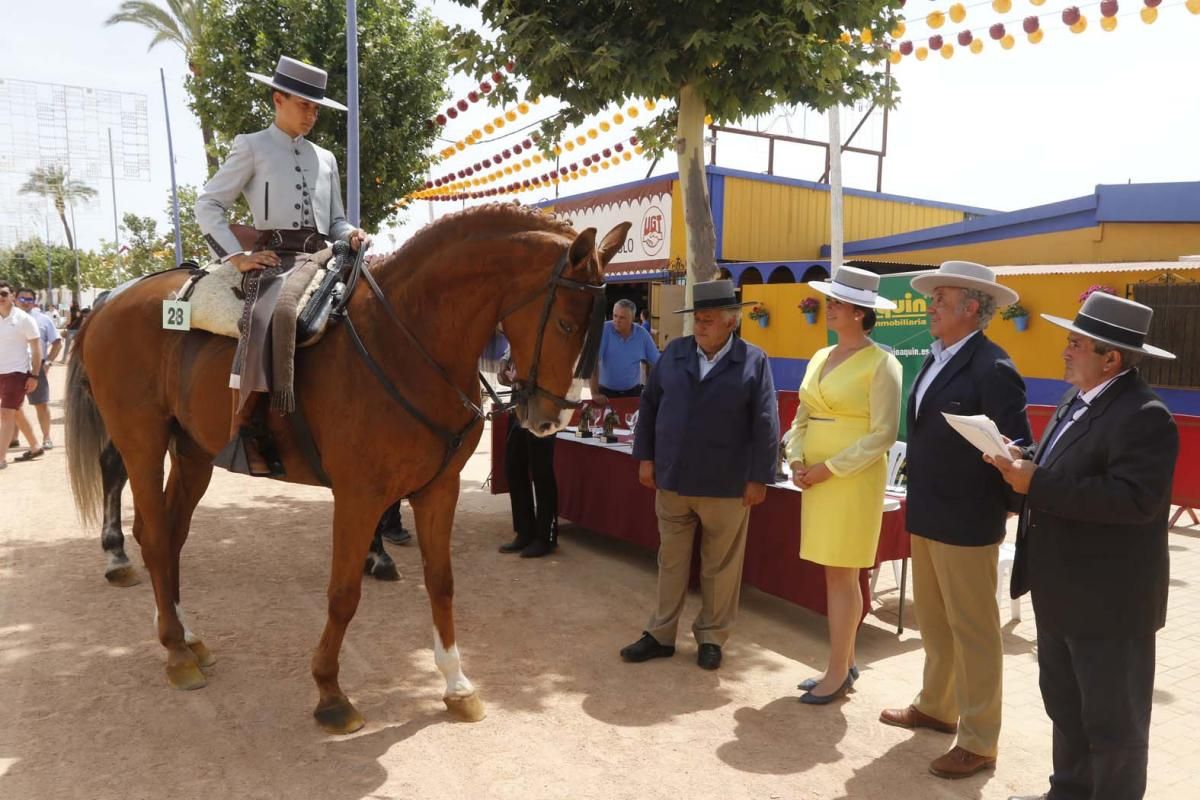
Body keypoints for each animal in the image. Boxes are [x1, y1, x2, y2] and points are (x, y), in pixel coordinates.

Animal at [65, 205, 628, 734]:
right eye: (565, 322)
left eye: (597, 328)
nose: (551, 419)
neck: (406, 339)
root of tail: (109, 303)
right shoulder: (359, 496)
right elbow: (343, 594)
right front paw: (330, 692)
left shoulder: (438, 489)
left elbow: (441, 582)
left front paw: (457, 684)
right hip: (142, 441)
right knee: (155, 534)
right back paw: (174, 649)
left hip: (193, 453)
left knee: (170, 536)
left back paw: (185, 635)